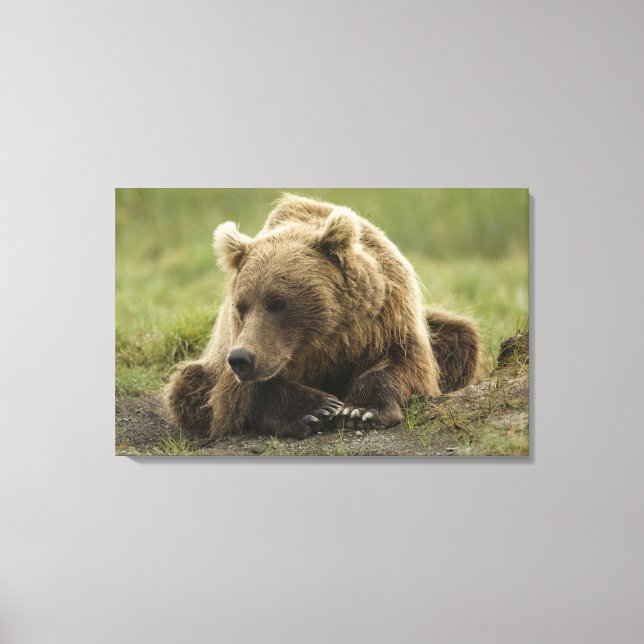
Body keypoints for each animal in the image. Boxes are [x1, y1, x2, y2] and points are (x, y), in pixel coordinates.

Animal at [164, 194, 484, 440]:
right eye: (241, 306)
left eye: (278, 303)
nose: (242, 358)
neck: (327, 340)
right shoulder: (235, 348)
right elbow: (234, 393)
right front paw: (316, 409)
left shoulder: (387, 318)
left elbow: (406, 363)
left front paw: (361, 410)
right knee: (187, 385)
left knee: (461, 337)